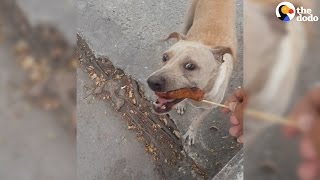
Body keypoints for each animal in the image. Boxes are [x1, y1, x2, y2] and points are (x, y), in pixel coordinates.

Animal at [146, 0, 236, 146]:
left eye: (190, 66)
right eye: (164, 57)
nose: (151, 82)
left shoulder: (208, 109)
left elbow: (196, 121)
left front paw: (191, 133)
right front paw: (181, 105)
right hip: (187, 21)